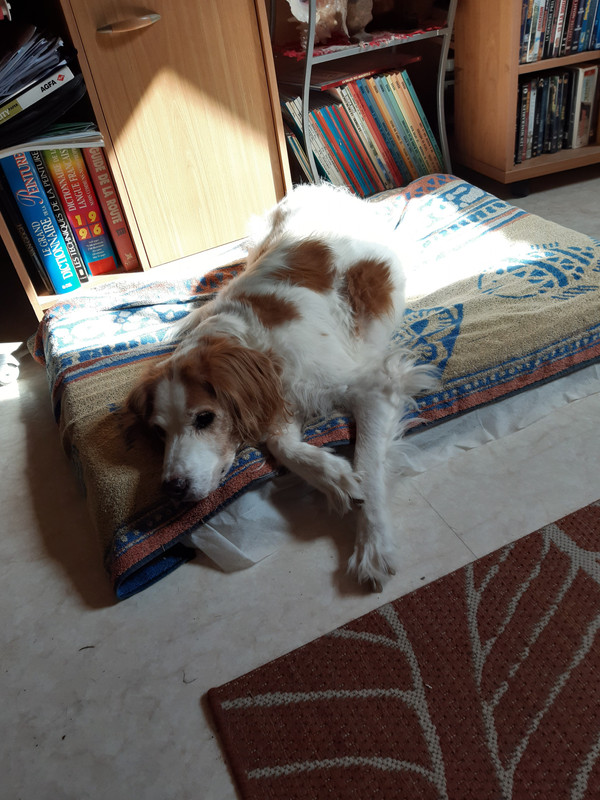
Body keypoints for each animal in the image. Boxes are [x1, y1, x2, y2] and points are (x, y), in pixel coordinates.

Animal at [125, 183, 432, 591]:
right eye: (159, 432)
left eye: (204, 419)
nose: (171, 488)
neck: (252, 341)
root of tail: (317, 188)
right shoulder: (280, 402)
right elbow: (281, 445)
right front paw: (333, 475)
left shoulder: (374, 386)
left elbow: (367, 466)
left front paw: (373, 544)